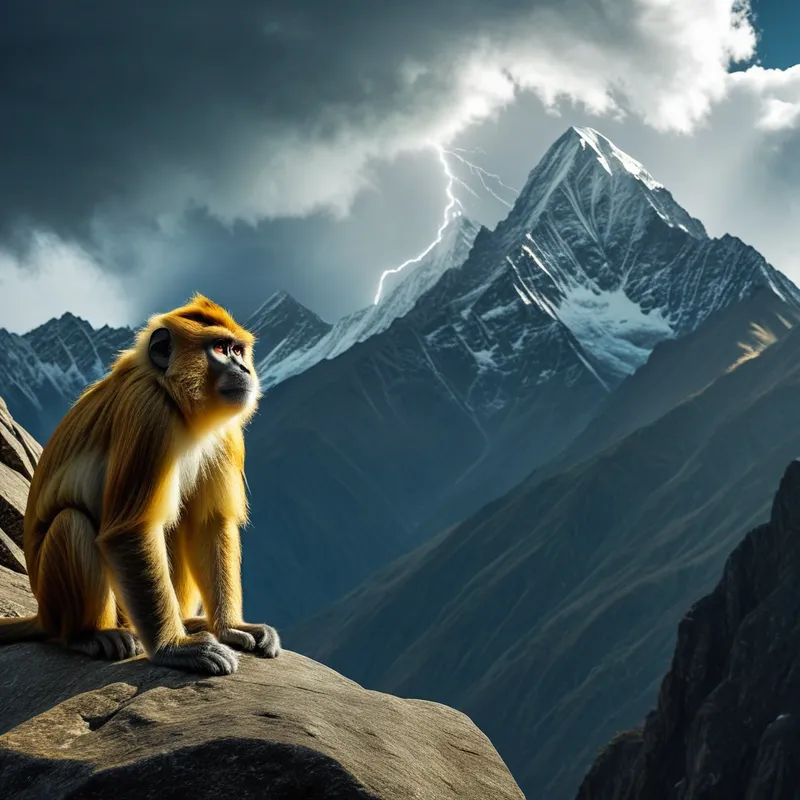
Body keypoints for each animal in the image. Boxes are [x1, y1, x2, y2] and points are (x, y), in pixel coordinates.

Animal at [0, 293, 280, 675]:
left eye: (238, 350)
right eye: (221, 349)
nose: (245, 369)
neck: (175, 400)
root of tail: (43, 613)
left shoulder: (225, 432)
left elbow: (208, 522)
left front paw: (231, 628)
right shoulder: (148, 412)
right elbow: (129, 532)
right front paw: (172, 649)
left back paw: (188, 622)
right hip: (62, 601)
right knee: (72, 522)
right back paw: (89, 634)